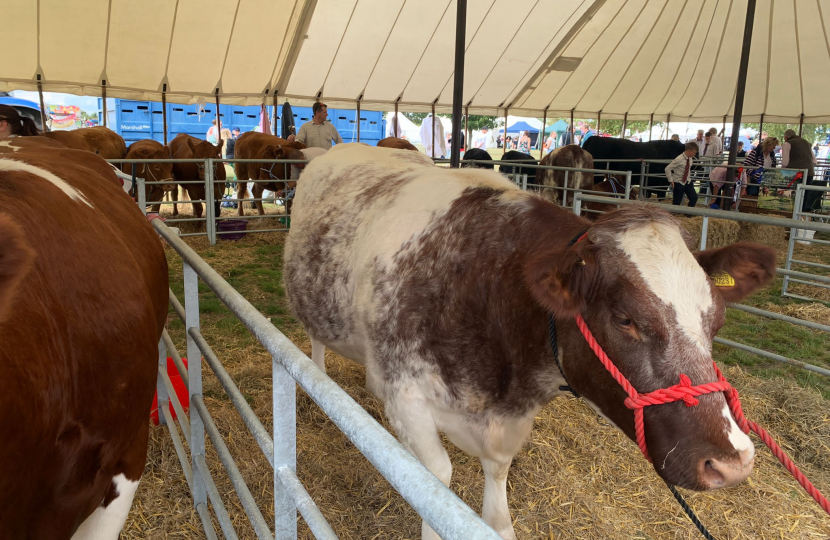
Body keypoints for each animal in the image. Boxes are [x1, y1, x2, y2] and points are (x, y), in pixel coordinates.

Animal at [282, 143, 776, 540]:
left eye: (716, 319)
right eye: (625, 319)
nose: (732, 462)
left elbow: (497, 482)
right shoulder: (406, 398)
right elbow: (435, 480)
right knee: (316, 342)